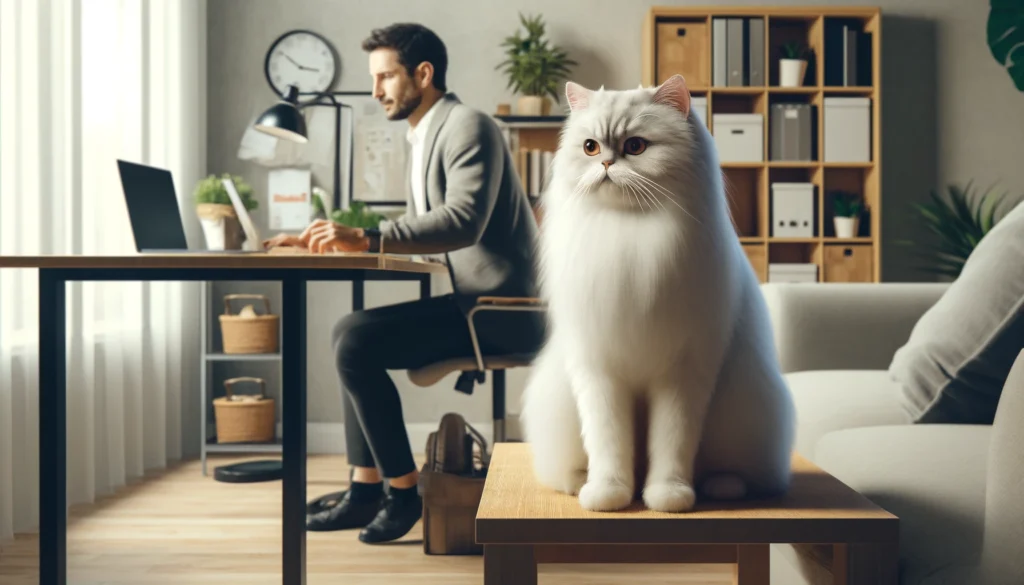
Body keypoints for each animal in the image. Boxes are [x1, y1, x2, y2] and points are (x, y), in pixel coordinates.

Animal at [520, 75, 798, 514]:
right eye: (590, 147)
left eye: (635, 146)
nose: (605, 164)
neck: (629, 234)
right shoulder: (599, 371)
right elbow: (609, 443)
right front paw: (609, 495)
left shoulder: (683, 373)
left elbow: (672, 443)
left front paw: (668, 497)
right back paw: (580, 484)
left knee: (740, 474)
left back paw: (721, 487)